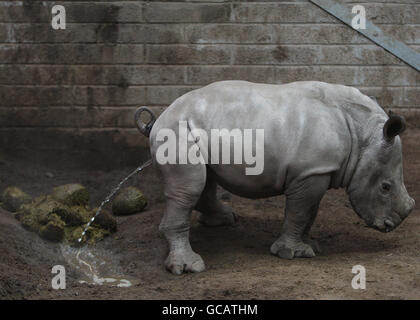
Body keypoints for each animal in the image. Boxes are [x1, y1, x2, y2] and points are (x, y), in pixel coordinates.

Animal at [136, 80, 416, 276]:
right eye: (385, 187)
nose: (391, 225)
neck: (362, 135)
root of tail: (159, 119)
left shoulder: (316, 171)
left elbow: (310, 212)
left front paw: (309, 246)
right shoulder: (310, 171)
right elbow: (300, 212)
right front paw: (290, 253)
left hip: (195, 129)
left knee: (205, 180)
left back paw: (223, 221)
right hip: (176, 131)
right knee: (190, 188)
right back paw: (189, 267)